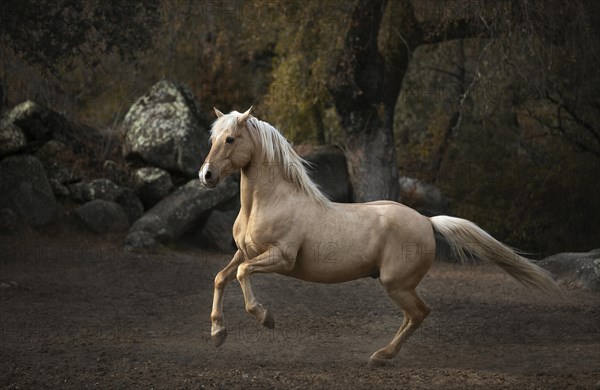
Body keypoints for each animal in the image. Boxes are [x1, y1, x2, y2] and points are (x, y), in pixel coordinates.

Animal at [199, 106, 560, 366]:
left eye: (230, 139)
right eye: (212, 140)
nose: (206, 176)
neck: (269, 202)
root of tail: (427, 220)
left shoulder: (281, 258)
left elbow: (242, 275)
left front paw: (265, 318)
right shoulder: (244, 252)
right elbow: (220, 277)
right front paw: (218, 333)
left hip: (396, 283)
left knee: (420, 313)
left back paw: (381, 357)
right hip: (397, 285)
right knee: (412, 316)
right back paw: (381, 355)